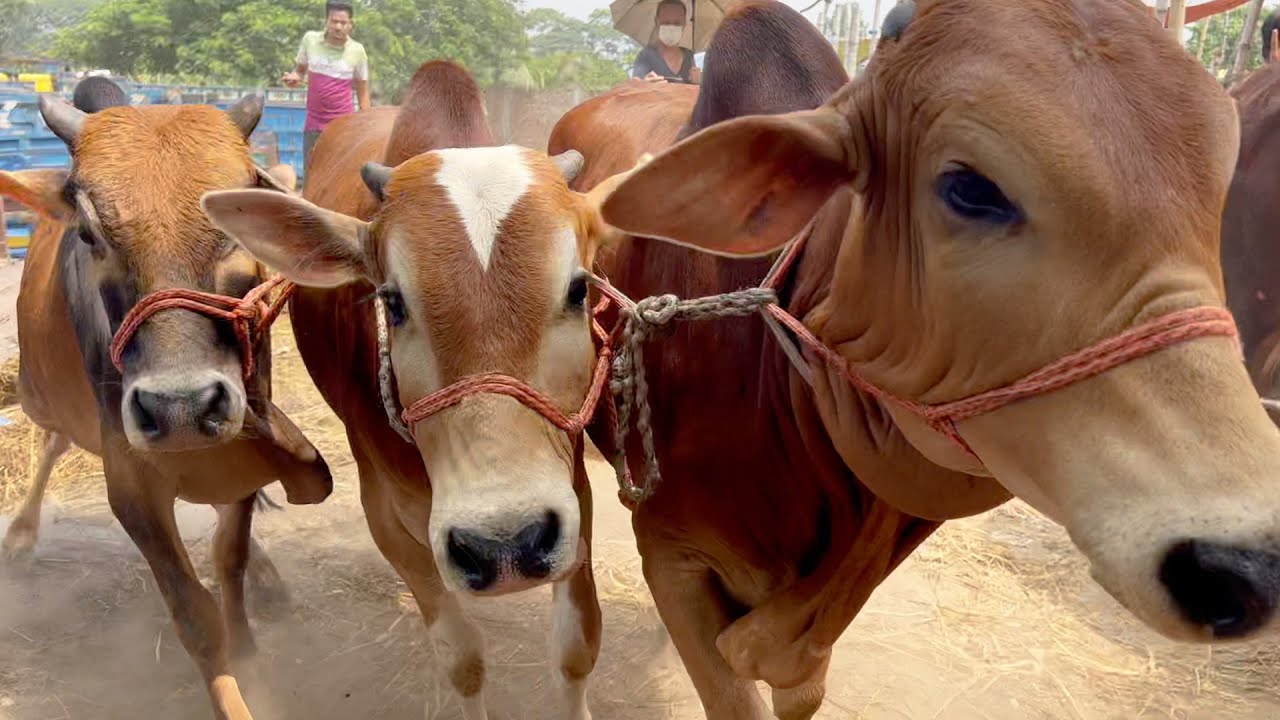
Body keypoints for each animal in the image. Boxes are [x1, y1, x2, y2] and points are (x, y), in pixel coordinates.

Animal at [0, 84, 333, 720]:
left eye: (234, 224)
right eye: (90, 234)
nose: (180, 406)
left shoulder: (242, 435)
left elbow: (229, 558)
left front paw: (251, 654)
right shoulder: (130, 480)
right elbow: (195, 614)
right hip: (39, 395)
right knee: (52, 439)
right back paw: (21, 535)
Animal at [200, 60, 628, 720]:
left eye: (580, 288)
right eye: (392, 302)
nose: (504, 546)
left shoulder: (569, 494)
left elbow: (575, 648)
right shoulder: (387, 514)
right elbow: (463, 660)